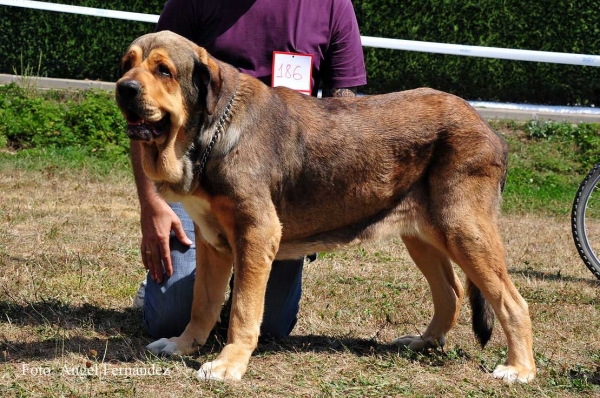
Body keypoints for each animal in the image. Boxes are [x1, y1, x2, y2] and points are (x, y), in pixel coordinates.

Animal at [115, 31, 536, 382]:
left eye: (164, 70)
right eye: (126, 64)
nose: (124, 89)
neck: (212, 131)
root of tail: (490, 130)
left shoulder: (255, 235)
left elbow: (242, 311)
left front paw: (228, 363)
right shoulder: (212, 243)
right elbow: (202, 304)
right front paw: (182, 345)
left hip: (464, 232)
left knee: (512, 301)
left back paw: (519, 368)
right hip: (423, 236)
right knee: (451, 292)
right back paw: (424, 342)